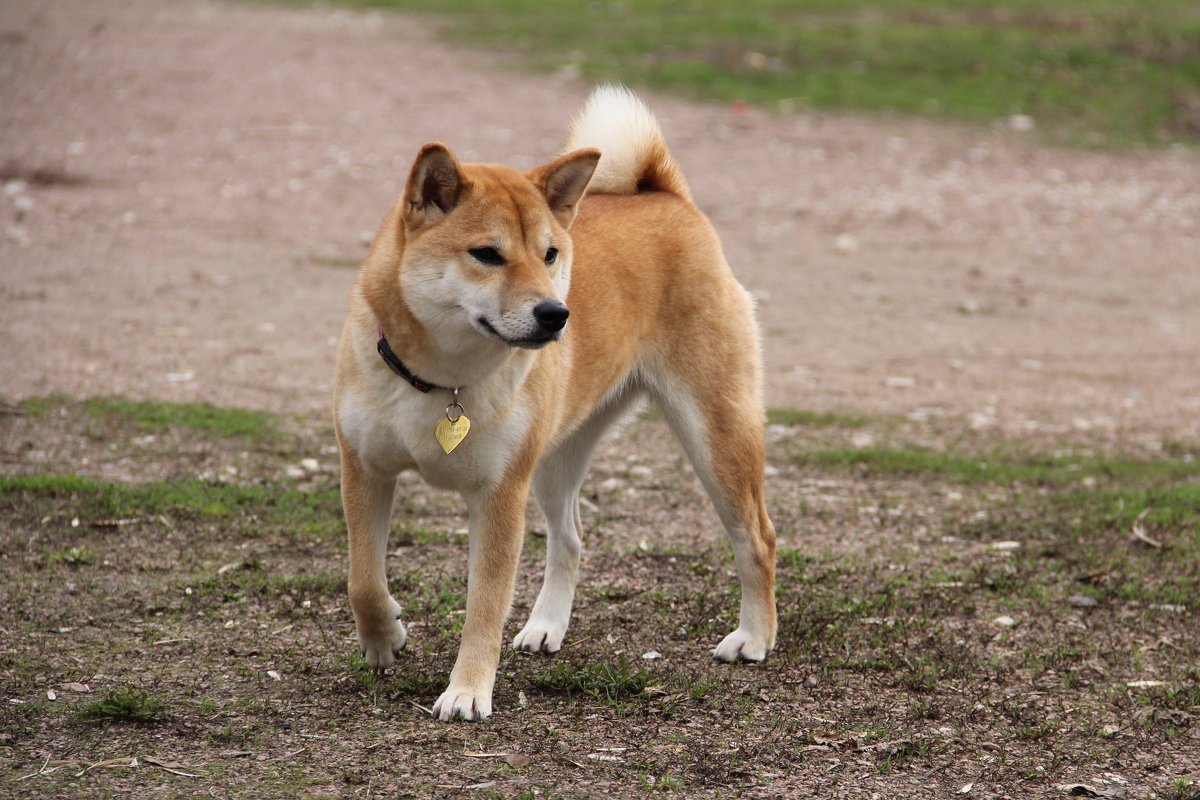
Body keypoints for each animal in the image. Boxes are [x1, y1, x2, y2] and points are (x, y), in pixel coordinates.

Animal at [331, 84, 777, 724]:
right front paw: (384, 635)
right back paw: (546, 626)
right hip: (553, 460)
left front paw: (467, 691)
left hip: (715, 438)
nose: (555, 314)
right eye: (487, 254)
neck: (444, 382)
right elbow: (363, 579)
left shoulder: (499, 497)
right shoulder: (364, 469)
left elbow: (484, 606)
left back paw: (755, 638)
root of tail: (665, 196)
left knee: (757, 538)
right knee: (571, 539)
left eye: (549, 255)